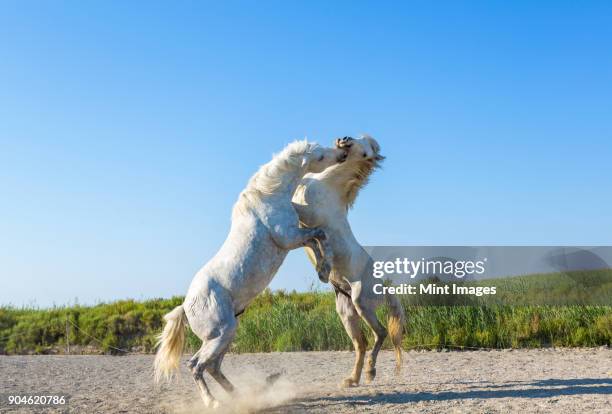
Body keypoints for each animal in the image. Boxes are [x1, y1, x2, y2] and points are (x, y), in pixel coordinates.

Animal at [155, 139, 346, 408]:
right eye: (319, 156)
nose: (342, 153)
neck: (270, 197)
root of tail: (186, 306)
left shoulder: (293, 237)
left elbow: (315, 239)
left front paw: (322, 270)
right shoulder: (288, 238)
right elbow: (319, 234)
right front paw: (324, 268)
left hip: (225, 335)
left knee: (212, 366)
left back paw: (240, 395)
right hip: (220, 334)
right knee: (196, 365)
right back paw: (214, 403)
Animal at [292, 136, 406, 388]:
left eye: (366, 152)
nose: (344, 139)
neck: (327, 184)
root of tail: (384, 286)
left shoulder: (307, 214)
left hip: (361, 302)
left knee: (380, 333)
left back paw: (370, 372)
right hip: (346, 313)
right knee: (361, 343)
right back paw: (352, 379)